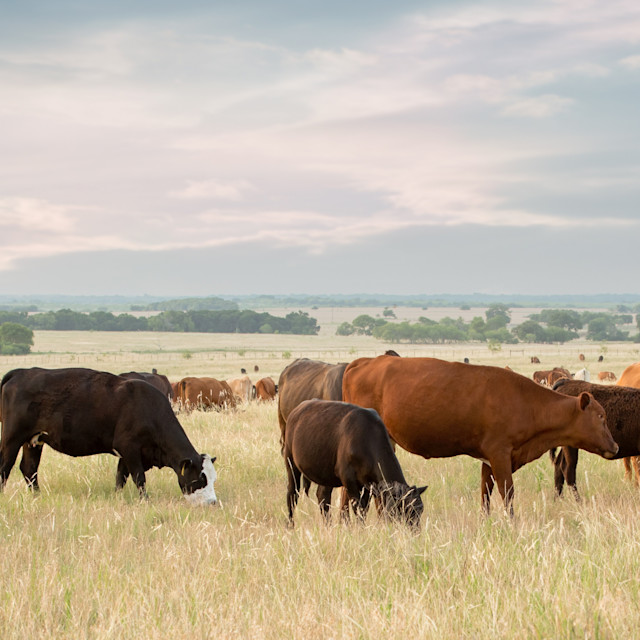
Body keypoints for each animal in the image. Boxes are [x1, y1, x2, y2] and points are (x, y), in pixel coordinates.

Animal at [0, 364, 218, 504]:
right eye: (200, 479)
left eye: (213, 479)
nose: (212, 502)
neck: (147, 407)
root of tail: (21, 373)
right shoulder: (129, 448)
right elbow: (139, 478)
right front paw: (145, 501)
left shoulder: (127, 454)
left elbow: (120, 478)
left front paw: (117, 498)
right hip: (12, 438)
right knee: (5, 466)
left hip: (33, 441)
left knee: (29, 469)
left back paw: (38, 497)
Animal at [344, 356, 620, 516]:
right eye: (600, 416)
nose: (615, 446)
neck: (526, 402)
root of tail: (362, 362)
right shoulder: (500, 456)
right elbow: (507, 494)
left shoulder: (488, 461)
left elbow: (485, 495)